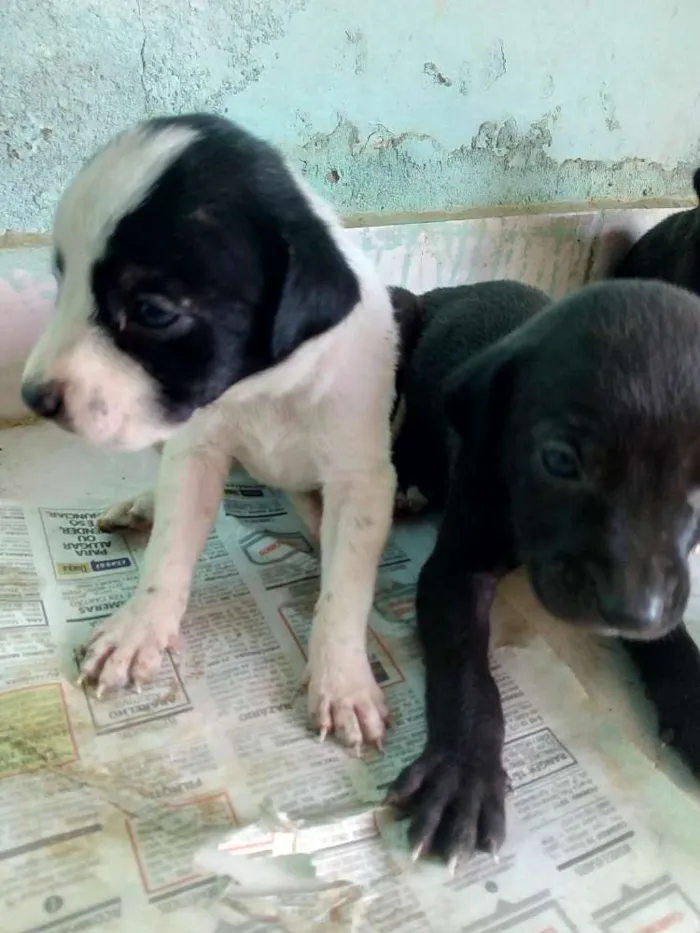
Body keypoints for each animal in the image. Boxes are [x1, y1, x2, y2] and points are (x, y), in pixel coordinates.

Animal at [19, 113, 396, 748]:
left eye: (153, 312)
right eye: (61, 279)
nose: (32, 397)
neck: (264, 390)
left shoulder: (362, 480)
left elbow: (345, 589)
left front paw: (343, 677)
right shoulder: (196, 450)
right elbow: (170, 548)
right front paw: (140, 628)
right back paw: (143, 504)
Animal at [388, 278, 700, 868]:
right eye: (559, 460)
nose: (632, 611)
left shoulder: (669, 580)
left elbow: (674, 640)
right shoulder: (454, 571)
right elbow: (468, 673)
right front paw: (465, 771)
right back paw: (406, 476)